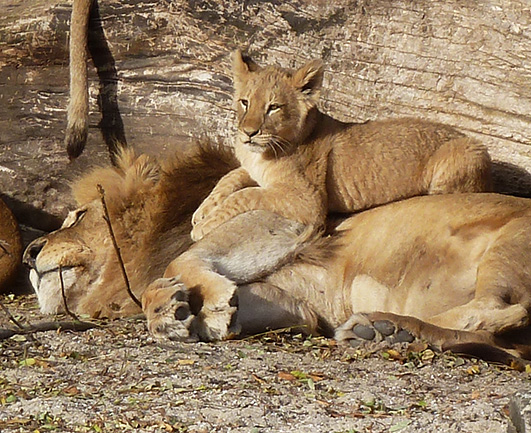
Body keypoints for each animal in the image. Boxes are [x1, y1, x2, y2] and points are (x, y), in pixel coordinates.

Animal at [22, 144, 528, 364]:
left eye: (78, 215)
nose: (29, 252)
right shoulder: (296, 298)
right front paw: (176, 314)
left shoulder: (286, 218)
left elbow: (178, 262)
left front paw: (181, 307)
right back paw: (388, 333)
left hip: (508, 247)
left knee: (498, 312)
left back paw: (384, 325)